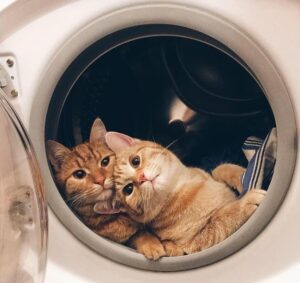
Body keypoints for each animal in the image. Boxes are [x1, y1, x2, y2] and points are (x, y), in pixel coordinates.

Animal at [102, 132, 266, 258]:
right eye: (128, 189)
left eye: (135, 161)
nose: (142, 178)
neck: (183, 186)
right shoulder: (197, 241)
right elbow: (224, 218)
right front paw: (246, 202)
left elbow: (220, 169)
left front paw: (239, 174)